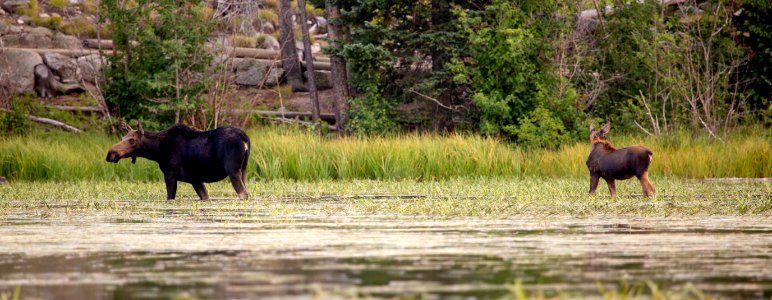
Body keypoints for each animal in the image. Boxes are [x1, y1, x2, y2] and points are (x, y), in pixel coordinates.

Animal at [105, 120, 250, 200]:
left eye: (132, 140)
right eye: (123, 137)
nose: (110, 153)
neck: (156, 152)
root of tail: (245, 138)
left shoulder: (170, 174)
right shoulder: (195, 179)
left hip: (232, 170)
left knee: (243, 194)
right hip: (243, 170)